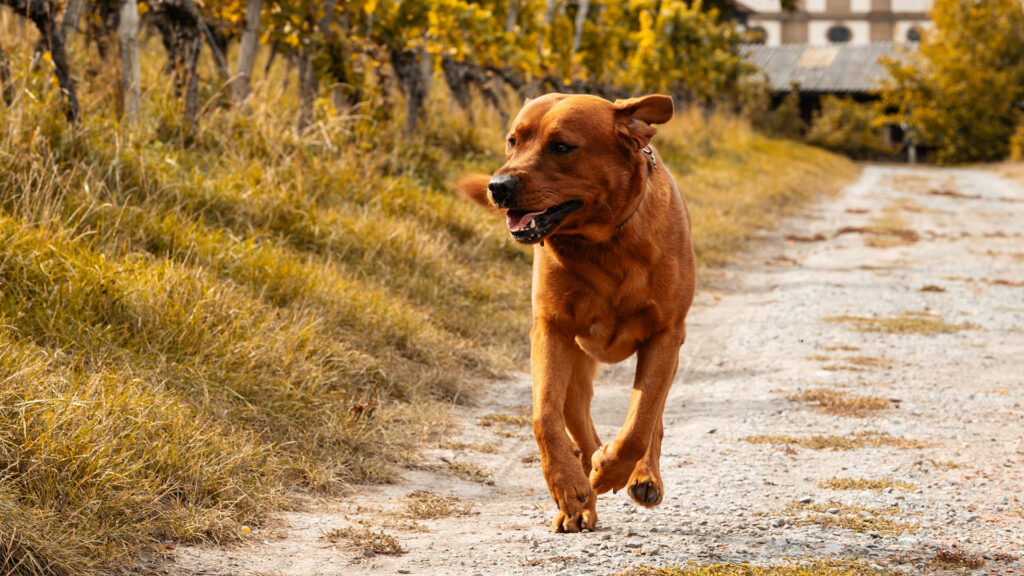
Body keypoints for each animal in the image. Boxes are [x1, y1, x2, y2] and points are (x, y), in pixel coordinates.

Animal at [456, 93, 696, 528]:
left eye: (562, 146)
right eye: (513, 141)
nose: (498, 186)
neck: (604, 243)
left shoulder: (665, 335)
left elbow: (640, 423)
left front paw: (615, 470)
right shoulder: (551, 330)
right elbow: (544, 417)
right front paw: (570, 485)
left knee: (651, 418)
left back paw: (639, 475)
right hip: (576, 366)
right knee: (581, 426)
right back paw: (584, 494)